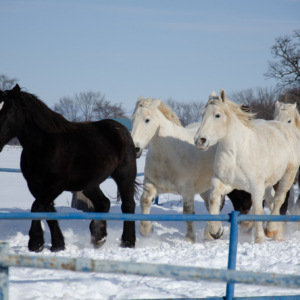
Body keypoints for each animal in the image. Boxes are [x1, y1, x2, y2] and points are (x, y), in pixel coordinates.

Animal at [0, 85, 138, 252]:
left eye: (10, 111)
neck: (42, 145)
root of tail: (121, 129)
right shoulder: (36, 185)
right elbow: (47, 210)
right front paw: (58, 244)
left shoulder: (55, 185)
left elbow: (37, 206)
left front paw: (36, 242)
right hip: (90, 184)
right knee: (103, 203)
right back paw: (98, 237)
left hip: (125, 175)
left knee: (128, 205)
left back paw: (128, 242)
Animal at [195, 89, 300, 244]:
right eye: (202, 114)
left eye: (217, 115)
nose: (200, 141)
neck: (237, 154)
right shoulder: (224, 183)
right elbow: (214, 198)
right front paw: (215, 231)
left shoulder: (256, 188)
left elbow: (257, 210)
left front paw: (259, 239)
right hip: (268, 184)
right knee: (272, 201)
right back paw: (276, 232)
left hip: (288, 175)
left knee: (279, 199)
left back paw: (272, 230)